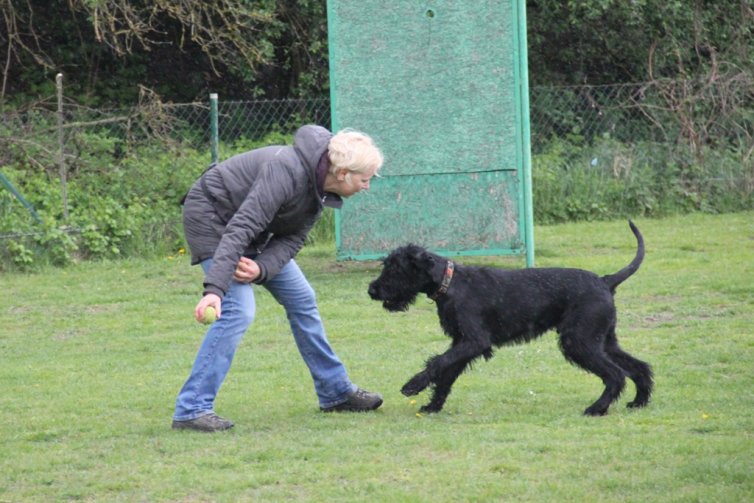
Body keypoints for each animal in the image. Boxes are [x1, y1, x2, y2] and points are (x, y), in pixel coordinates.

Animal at [368, 221, 648, 418]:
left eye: (395, 268)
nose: (372, 290)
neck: (450, 283)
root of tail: (605, 281)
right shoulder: (463, 343)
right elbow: (447, 373)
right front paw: (433, 405)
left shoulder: (474, 341)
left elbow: (439, 362)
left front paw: (413, 385)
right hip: (602, 340)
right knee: (639, 367)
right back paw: (640, 401)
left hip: (579, 342)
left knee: (616, 374)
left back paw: (597, 408)